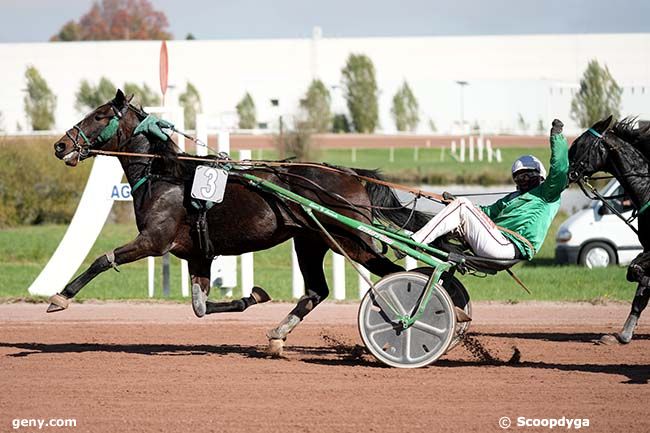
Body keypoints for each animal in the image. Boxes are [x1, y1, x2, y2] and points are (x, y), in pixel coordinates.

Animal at [49, 89, 426, 352]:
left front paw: (60, 297)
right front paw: (253, 296)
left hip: (350, 240)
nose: (59, 145)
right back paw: (277, 335)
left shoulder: (154, 241)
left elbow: (102, 259)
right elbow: (200, 307)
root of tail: (350, 174)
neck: (163, 176)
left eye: (99, 115)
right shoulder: (198, 254)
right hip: (310, 241)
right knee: (316, 291)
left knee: (395, 275)